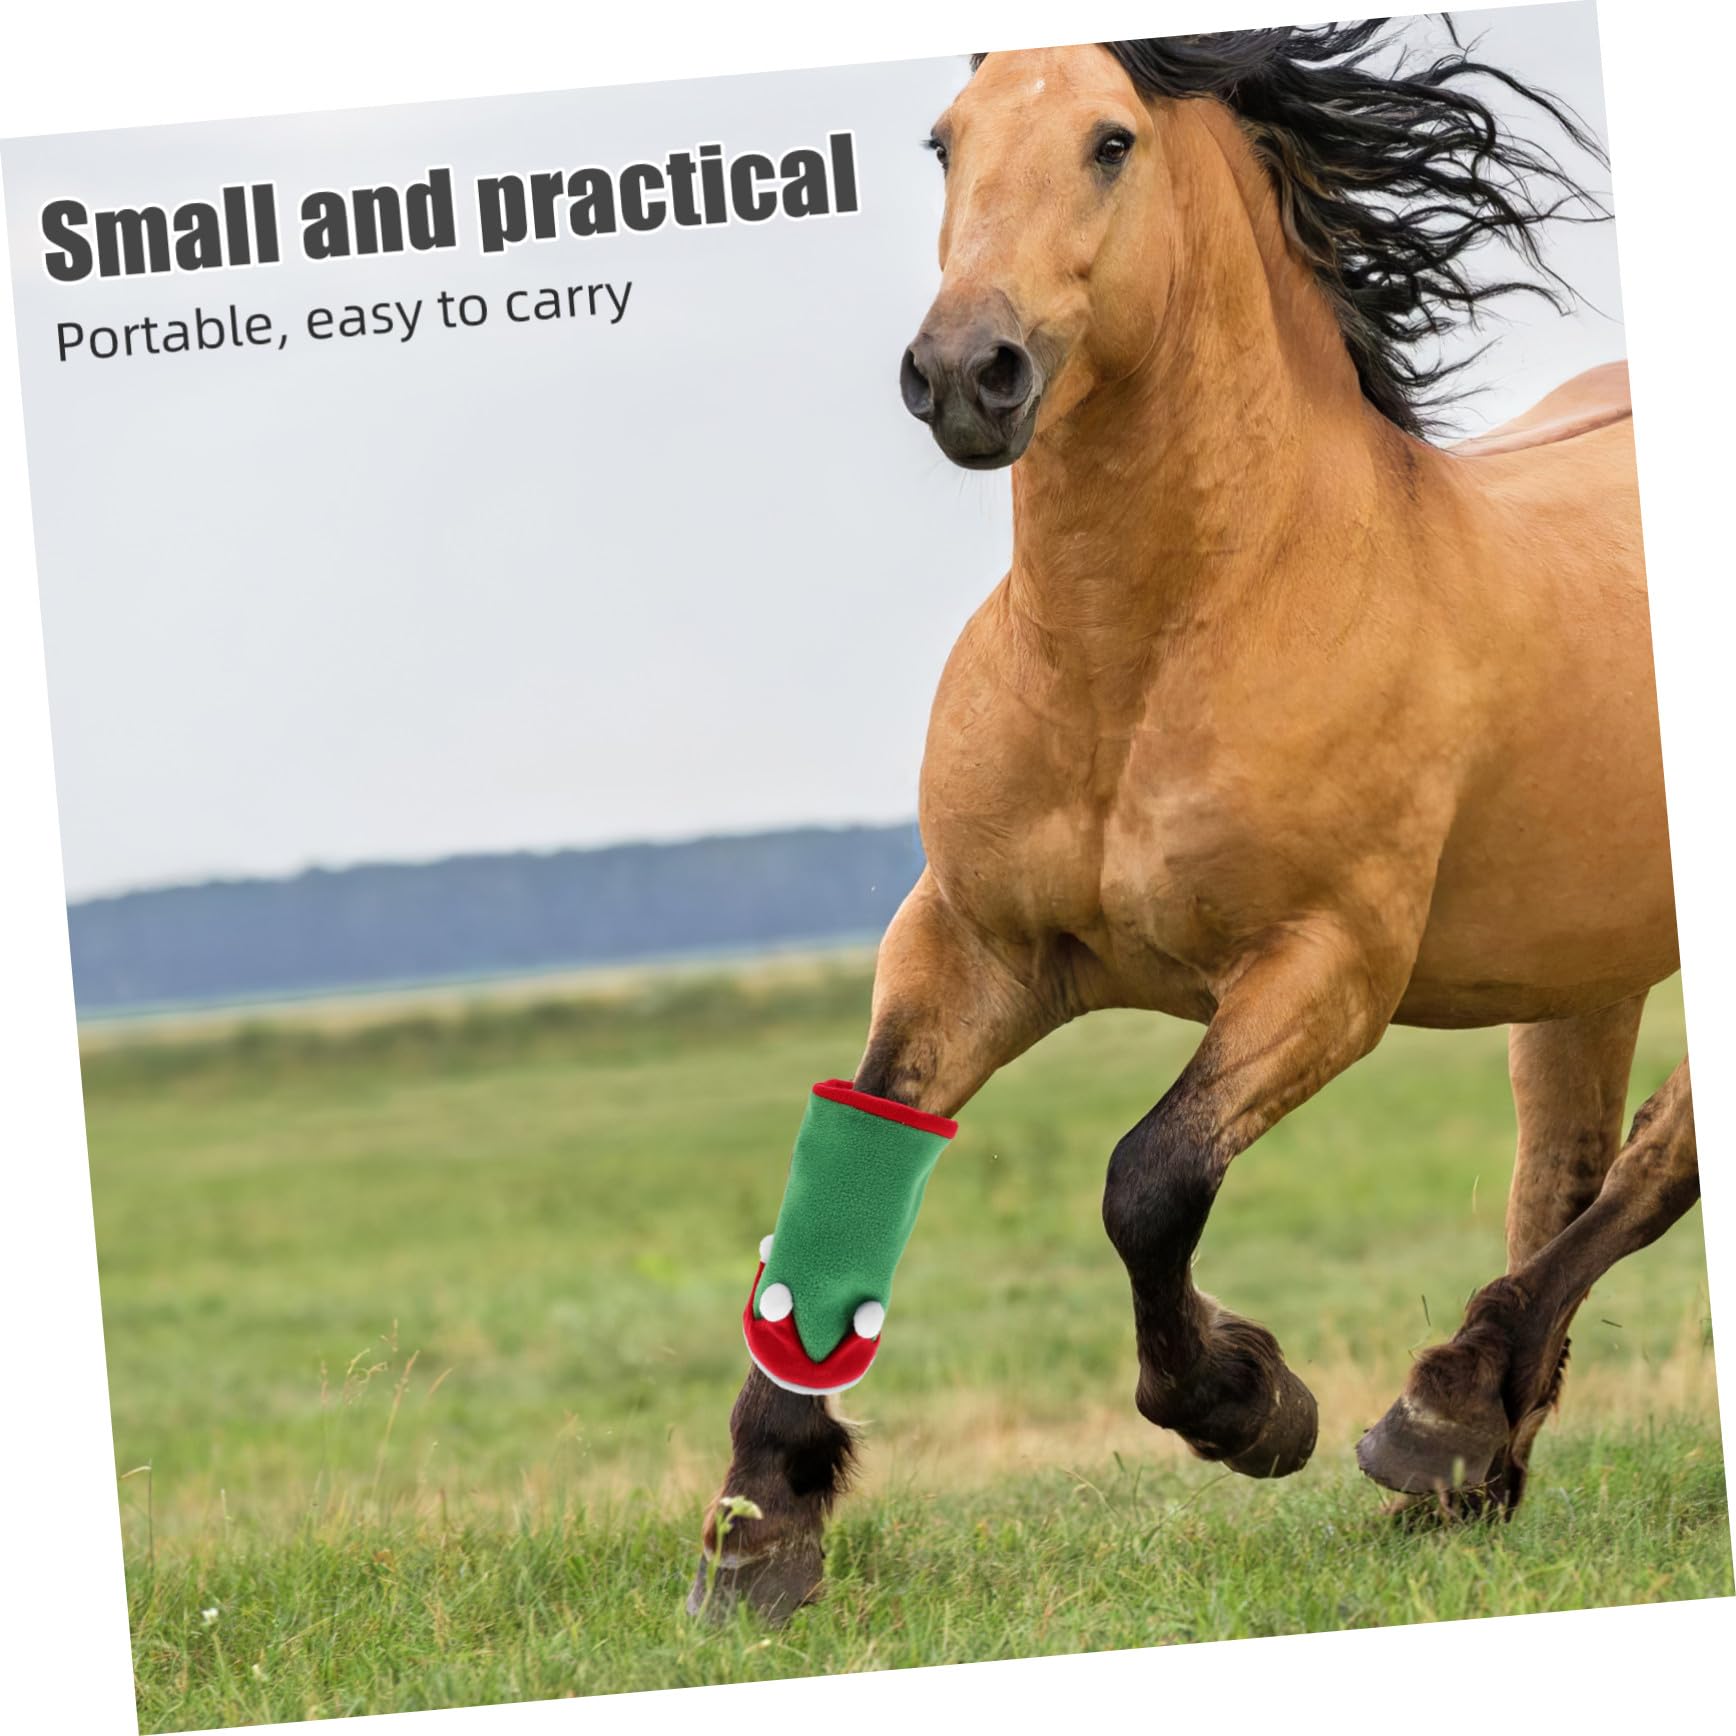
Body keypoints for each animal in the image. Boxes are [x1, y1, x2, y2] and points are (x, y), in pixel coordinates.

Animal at [692, 22, 1694, 1619]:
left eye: (1111, 141)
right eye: (944, 141)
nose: (964, 373)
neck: (1148, 648)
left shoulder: (1327, 969)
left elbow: (1148, 1182)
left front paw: (1251, 1405)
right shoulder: (966, 944)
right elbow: (851, 1151)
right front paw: (761, 1525)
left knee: (1652, 1164)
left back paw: (1437, 1413)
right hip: (1580, 965)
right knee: (1567, 1168)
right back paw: (1472, 1460)